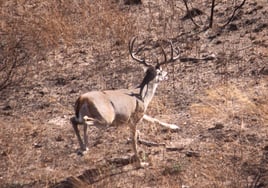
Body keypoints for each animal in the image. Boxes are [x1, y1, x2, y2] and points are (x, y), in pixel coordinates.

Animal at [70, 36, 180, 167]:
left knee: (73, 120)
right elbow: (134, 140)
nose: (167, 74)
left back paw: (83, 147)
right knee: (85, 121)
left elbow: (154, 120)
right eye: (160, 71)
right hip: (106, 117)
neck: (142, 96)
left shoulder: (141, 114)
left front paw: (175, 127)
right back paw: (85, 147)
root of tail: (82, 98)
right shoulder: (133, 119)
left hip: (85, 115)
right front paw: (141, 163)